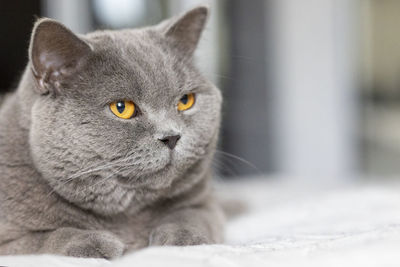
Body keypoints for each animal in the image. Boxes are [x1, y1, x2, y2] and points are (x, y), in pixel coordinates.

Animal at [0, 5, 223, 258]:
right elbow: (44, 238)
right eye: (122, 108)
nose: (172, 137)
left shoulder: (207, 205)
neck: (127, 215)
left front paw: (182, 238)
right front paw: (92, 242)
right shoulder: (10, 240)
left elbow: (192, 216)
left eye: (186, 101)